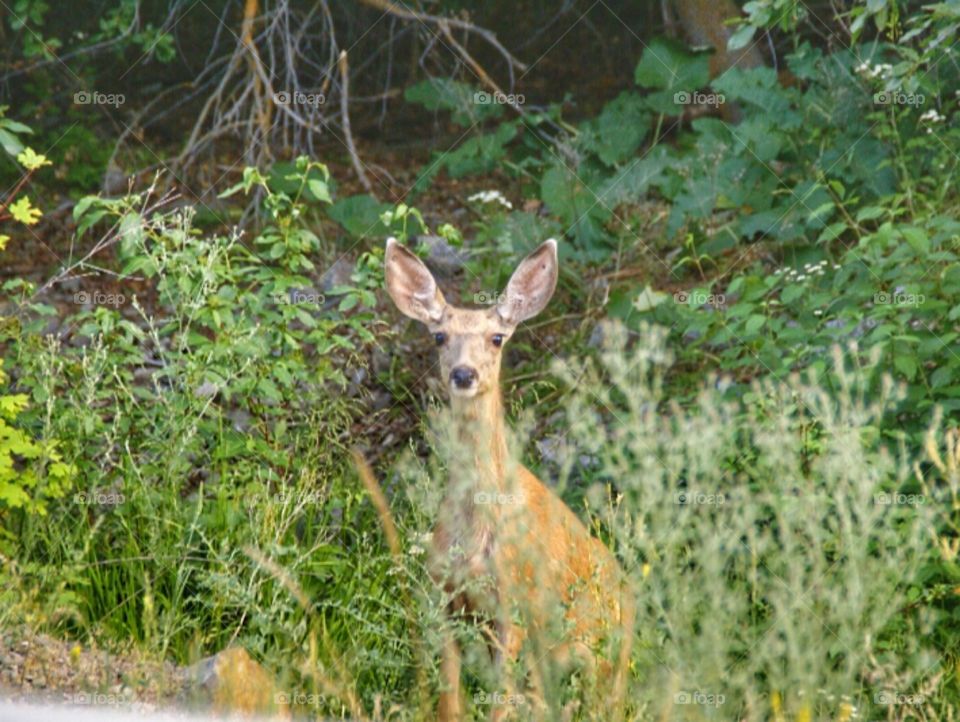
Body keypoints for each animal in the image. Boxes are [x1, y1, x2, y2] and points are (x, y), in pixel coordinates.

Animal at [384, 237, 633, 721]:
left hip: (598, 650)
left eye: (496, 338)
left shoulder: (514, 601)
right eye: (439, 336)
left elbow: (500, 698)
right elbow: (449, 699)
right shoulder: (444, 594)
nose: (464, 374)